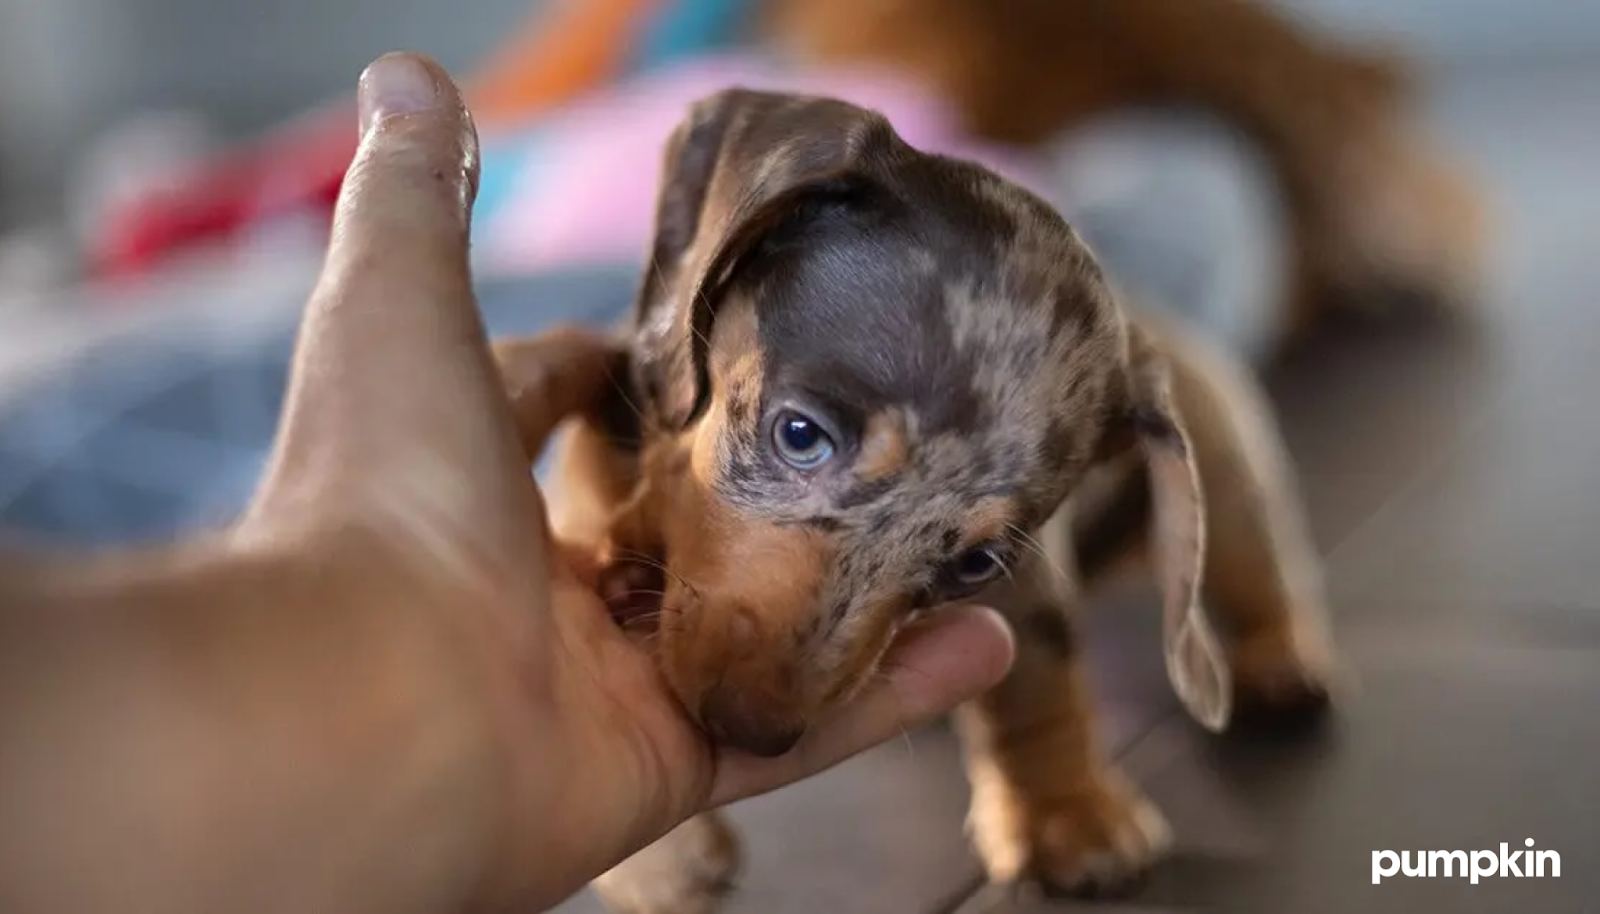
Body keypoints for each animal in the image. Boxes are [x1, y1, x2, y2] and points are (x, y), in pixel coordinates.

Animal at [518, 89, 1331, 909]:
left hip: (1224, 461)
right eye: (800, 434)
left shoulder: (1027, 585)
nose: (750, 729)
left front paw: (1067, 813)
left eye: (977, 563)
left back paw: (1280, 661)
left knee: (1257, 566)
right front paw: (665, 860)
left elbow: (1035, 683)